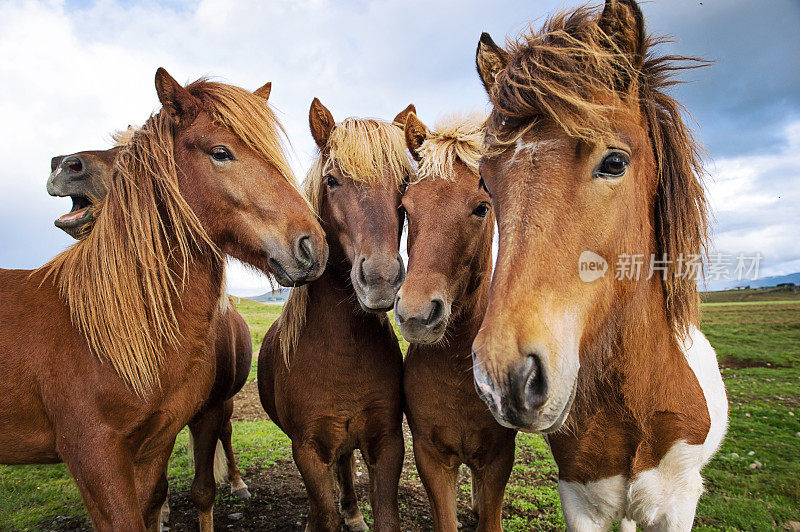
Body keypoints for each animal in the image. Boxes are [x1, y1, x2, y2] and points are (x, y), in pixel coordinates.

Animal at [260, 100, 416, 532]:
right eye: (332, 181)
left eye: (405, 183)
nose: (381, 279)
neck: (343, 353)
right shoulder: (308, 451)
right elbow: (324, 512)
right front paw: (322, 518)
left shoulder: (387, 443)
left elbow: (386, 517)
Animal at [472, 2, 728, 528]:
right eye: (486, 181)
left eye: (614, 162)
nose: (504, 380)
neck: (632, 406)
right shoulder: (579, 497)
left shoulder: (678, 503)